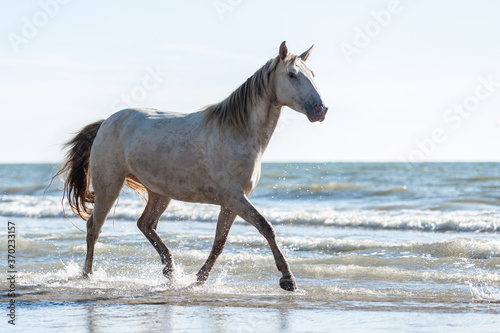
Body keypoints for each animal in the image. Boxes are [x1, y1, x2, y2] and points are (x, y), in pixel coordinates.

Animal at [55, 42, 328, 290]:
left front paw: (199, 279)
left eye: (313, 74)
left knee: (145, 224)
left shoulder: (231, 203)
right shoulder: (235, 198)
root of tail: (105, 123)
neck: (236, 133)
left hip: (159, 193)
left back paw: (170, 272)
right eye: (292, 75)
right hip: (109, 185)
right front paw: (288, 279)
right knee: (94, 227)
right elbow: (266, 227)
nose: (320, 109)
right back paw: (88, 275)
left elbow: (219, 243)